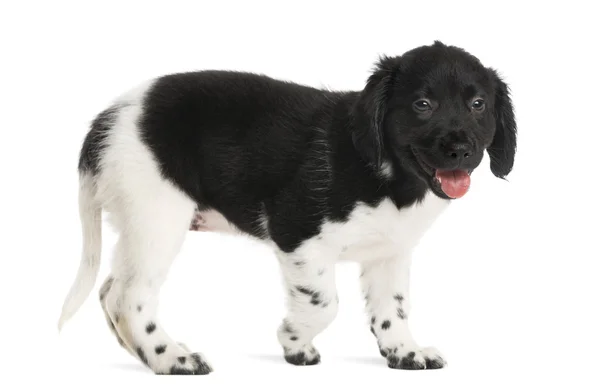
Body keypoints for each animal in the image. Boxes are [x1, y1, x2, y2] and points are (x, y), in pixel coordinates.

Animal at [58, 41, 516, 374]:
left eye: (478, 105)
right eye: (423, 105)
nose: (461, 150)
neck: (387, 172)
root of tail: (108, 118)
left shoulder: (389, 252)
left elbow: (392, 308)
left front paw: (404, 351)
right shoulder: (298, 235)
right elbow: (324, 303)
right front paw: (294, 341)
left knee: (109, 291)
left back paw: (143, 352)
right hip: (157, 218)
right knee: (128, 297)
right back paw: (170, 358)